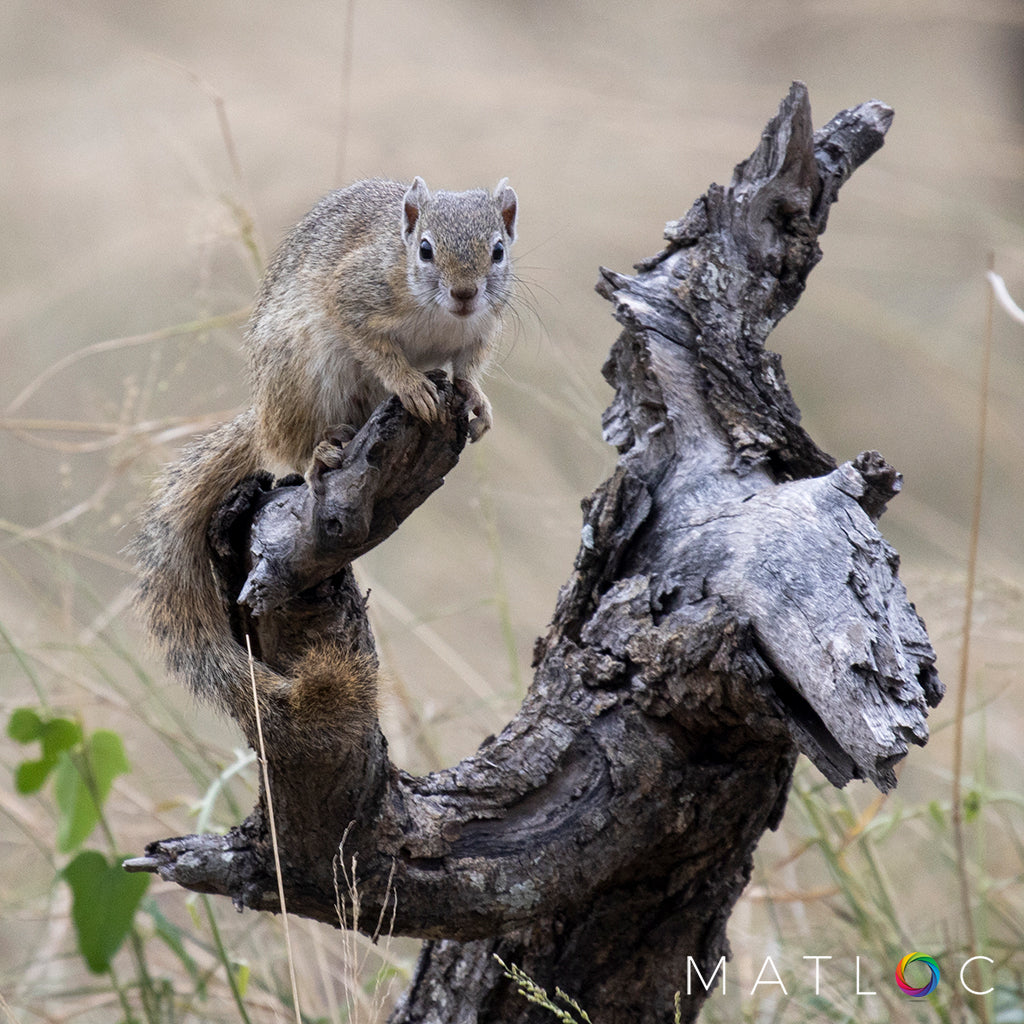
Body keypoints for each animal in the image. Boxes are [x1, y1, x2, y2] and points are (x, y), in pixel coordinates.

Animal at [134, 178, 520, 753]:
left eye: (498, 250)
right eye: (425, 249)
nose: (465, 293)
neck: (439, 316)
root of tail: (263, 414)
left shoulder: (477, 334)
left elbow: (468, 369)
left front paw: (476, 400)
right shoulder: (354, 294)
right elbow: (379, 350)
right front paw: (411, 386)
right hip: (305, 373)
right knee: (290, 448)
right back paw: (324, 450)